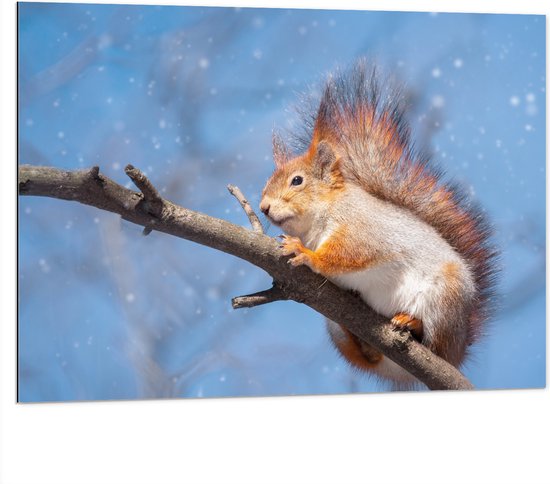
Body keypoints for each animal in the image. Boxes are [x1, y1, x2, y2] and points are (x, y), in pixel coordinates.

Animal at [260, 60, 498, 388]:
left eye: (297, 181)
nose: (263, 207)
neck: (317, 221)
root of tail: (459, 350)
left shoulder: (364, 228)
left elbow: (349, 253)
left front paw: (306, 254)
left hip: (445, 299)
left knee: (434, 344)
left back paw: (411, 323)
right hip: (336, 328)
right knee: (367, 356)